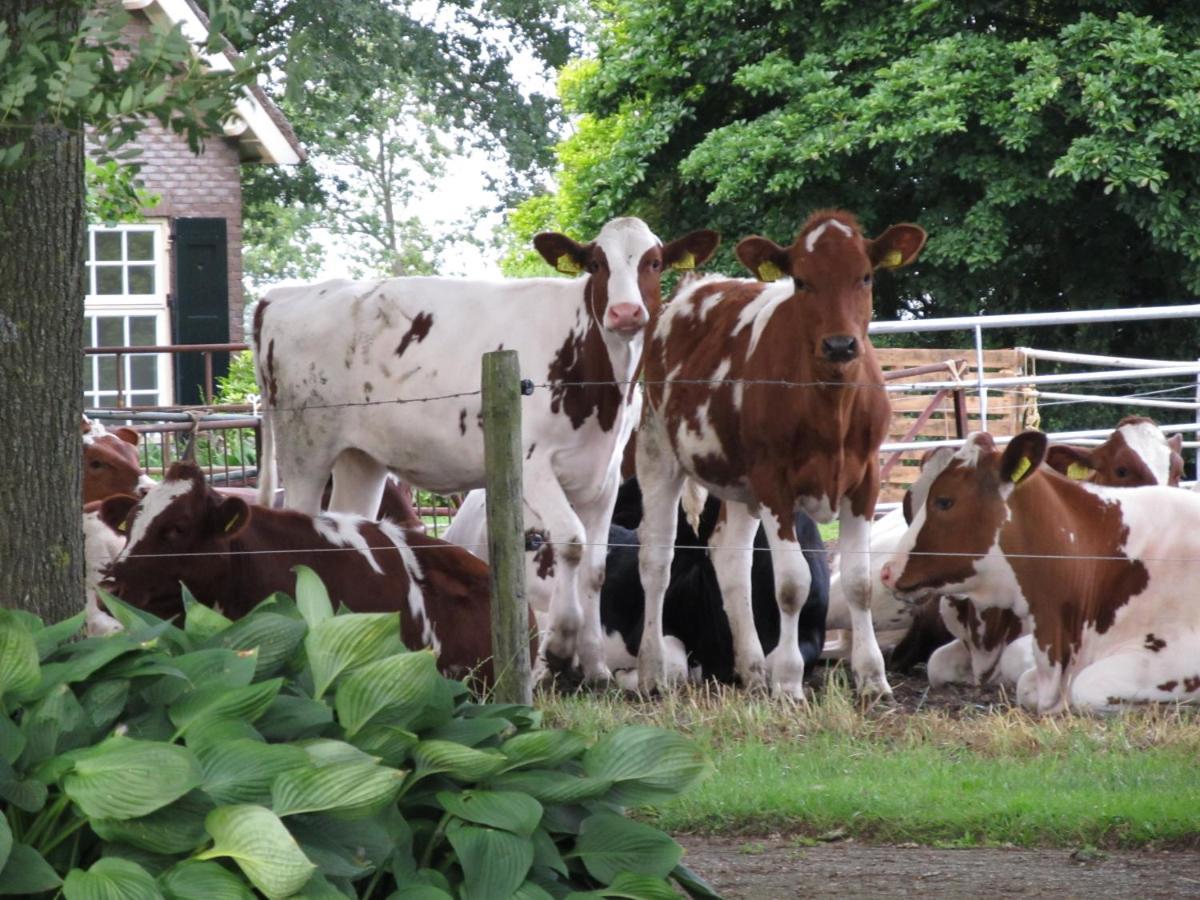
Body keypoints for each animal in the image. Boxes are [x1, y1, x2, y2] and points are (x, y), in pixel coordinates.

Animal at [254, 218, 715, 681]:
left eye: (653, 263)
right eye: (597, 264)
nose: (625, 313)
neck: (599, 381)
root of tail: (283, 295)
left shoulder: (603, 476)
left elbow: (595, 569)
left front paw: (596, 669)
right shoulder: (533, 466)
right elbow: (570, 540)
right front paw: (561, 647)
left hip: (360, 458)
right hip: (304, 449)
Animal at [638, 210, 926, 696]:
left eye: (865, 276)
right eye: (802, 281)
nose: (840, 345)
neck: (830, 404)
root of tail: (694, 289)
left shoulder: (865, 479)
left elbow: (859, 581)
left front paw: (872, 677)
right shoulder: (775, 482)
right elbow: (792, 583)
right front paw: (788, 681)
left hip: (739, 484)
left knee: (729, 557)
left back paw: (753, 669)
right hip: (658, 451)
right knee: (656, 560)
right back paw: (652, 668)